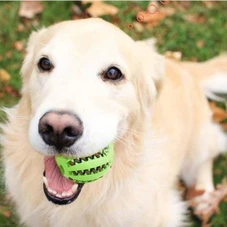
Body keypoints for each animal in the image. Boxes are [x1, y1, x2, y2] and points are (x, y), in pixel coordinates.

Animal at [1, 18, 227, 226]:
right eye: (45, 63)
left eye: (112, 73)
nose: (57, 129)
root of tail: (182, 67)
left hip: (197, 144)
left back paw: (204, 197)